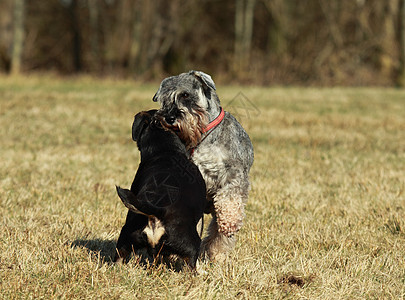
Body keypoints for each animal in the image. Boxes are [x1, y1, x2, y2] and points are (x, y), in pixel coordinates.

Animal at [152, 71, 252, 262]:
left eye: (185, 95)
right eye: (164, 99)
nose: (169, 118)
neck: (203, 136)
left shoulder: (233, 175)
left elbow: (230, 200)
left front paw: (229, 221)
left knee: (217, 235)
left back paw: (215, 256)